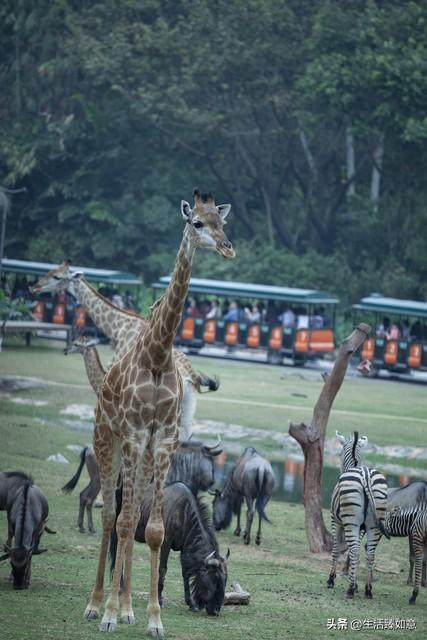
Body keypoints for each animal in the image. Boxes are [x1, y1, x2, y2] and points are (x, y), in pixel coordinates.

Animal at [84, 190, 236, 636]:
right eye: (197, 224)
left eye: (221, 223)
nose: (227, 248)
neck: (157, 352)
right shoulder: (135, 433)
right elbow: (122, 521)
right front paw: (110, 615)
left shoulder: (164, 438)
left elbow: (152, 529)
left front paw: (151, 618)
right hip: (108, 440)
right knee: (111, 515)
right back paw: (96, 606)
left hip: (143, 451)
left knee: (129, 512)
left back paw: (126, 608)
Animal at [328, 430, 392, 600]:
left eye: (339, 453)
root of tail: (366, 475)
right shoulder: (362, 527)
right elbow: (351, 553)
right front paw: (355, 582)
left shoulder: (335, 520)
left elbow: (337, 549)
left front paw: (331, 579)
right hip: (374, 523)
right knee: (370, 553)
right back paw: (368, 589)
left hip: (351, 522)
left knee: (356, 550)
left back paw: (350, 590)